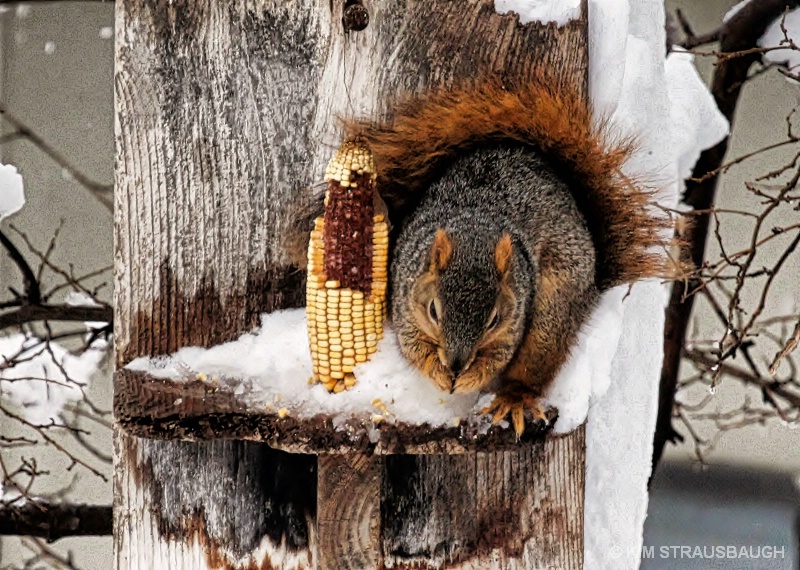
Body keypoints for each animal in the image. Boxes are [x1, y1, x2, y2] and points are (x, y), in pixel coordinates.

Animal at [290, 72, 668, 434]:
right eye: (433, 310)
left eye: (494, 319)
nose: (456, 365)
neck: (473, 234)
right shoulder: (405, 295)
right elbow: (414, 346)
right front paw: (438, 371)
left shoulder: (516, 308)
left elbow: (499, 354)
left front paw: (471, 377)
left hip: (556, 305)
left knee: (535, 361)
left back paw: (514, 398)